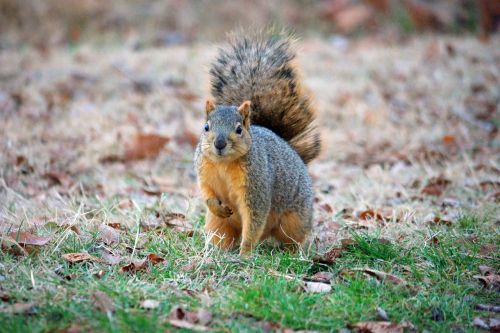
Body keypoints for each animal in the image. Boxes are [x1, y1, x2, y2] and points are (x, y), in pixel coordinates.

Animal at [194, 31, 320, 254]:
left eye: (239, 129)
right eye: (206, 127)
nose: (219, 143)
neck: (223, 164)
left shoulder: (257, 187)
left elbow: (254, 220)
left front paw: (245, 253)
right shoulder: (204, 172)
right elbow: (207, 193)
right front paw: (216, 206)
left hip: (294, 220)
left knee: (292, 238)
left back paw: (293, 253)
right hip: (218, 224)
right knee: (222, 233)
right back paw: (217, 251)